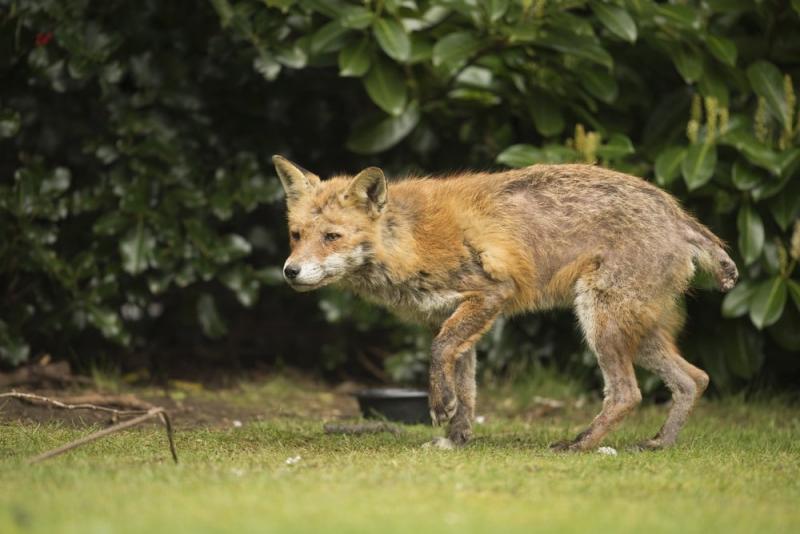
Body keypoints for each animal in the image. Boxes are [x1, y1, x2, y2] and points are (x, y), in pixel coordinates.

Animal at [272, 157, 736, 454]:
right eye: (296, 235)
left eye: (332, 237)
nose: (290, 272)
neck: (409, 240)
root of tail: (676, 214)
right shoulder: (455, 317)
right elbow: (466, 388)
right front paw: (455, 439)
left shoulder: (491, 294)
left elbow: (439, 354)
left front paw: (438, 406)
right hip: (637, 333)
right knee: (694, 379)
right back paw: (660, 443)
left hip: (601, 322)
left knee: (627, 394)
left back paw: (580, 445)